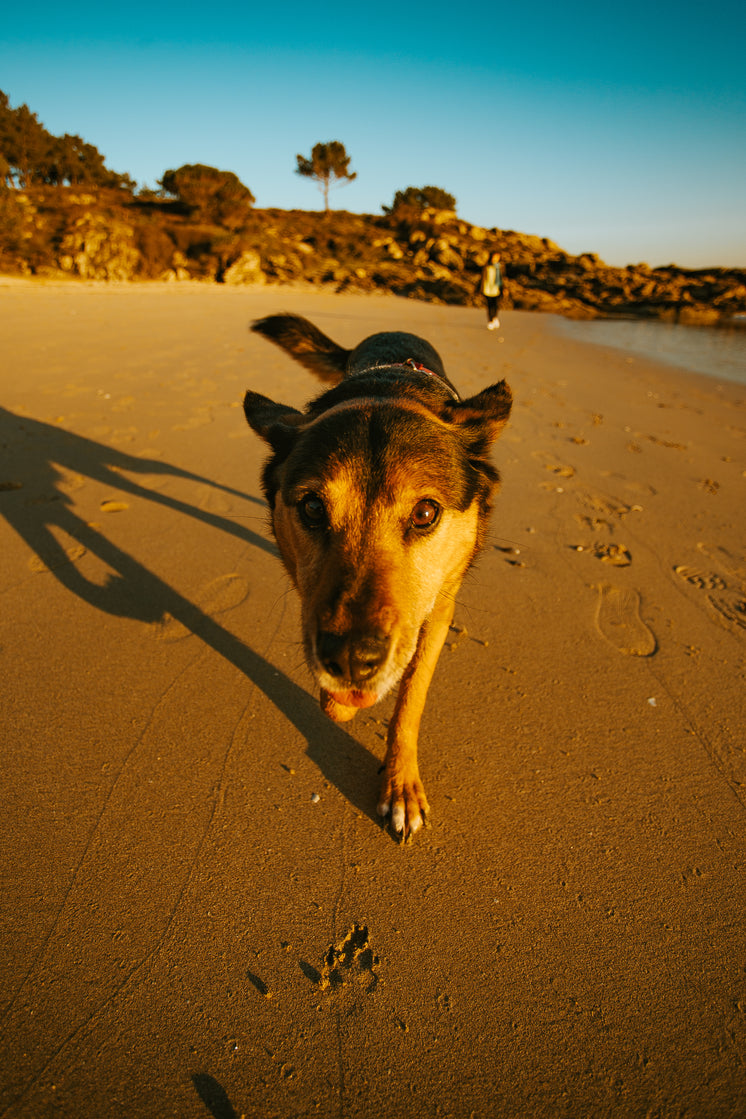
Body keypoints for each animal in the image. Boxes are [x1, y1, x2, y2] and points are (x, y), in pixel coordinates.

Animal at [244, 315, 514, 841]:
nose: (350, 660)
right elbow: (336, 699)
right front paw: (343, 704)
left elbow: (410, 697)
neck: (390, 389)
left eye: (426, 513)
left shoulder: (439, 609)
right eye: (312, 508)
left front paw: (400, 783)